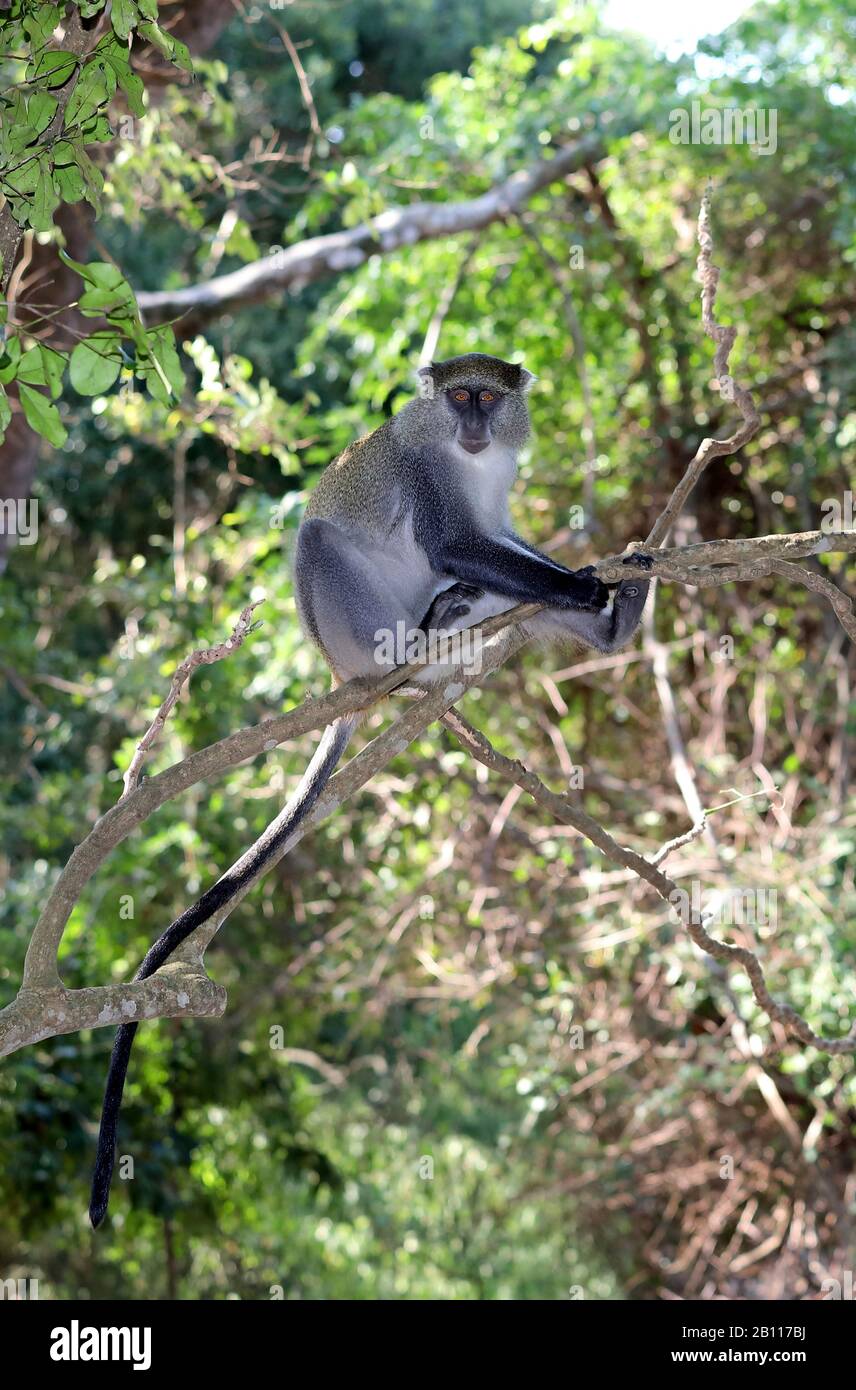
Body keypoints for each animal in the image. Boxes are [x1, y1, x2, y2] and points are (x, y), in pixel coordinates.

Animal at [89, 352, 652, 1227]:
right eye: (458, 396)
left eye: (489, 397)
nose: (474, 423)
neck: (464, 456)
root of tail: (338, 671)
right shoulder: (428, 476)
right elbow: (456, 542)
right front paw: (582, 585)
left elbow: (501, 543)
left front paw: (598, 582)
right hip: (352, 625)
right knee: (324, 541)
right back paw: (416, 647)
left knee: (486, 594)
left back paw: (603, 627)